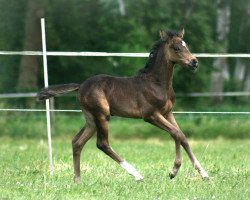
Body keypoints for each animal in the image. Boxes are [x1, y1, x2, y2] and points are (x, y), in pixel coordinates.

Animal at [37, 28, 209, 183]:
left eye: (186, 45)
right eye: (176, 48)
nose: (194, 62)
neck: (157, 83)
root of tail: (81, 86)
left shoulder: (168, 113)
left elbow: (181, 136)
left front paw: (202, 173)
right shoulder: (151, 115)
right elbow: (176, 133)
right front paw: (174, 170)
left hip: (91, 119)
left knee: (77, 142)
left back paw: (78, 180)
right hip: (102, 115)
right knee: (102, 144)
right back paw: (137, 175)